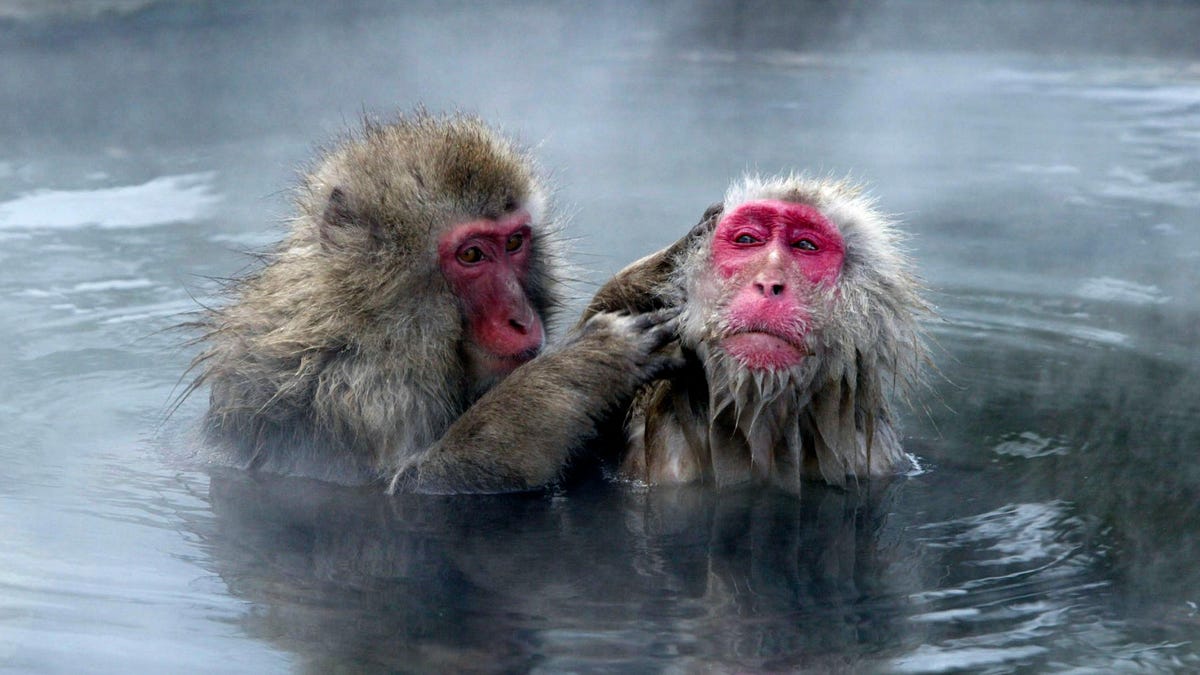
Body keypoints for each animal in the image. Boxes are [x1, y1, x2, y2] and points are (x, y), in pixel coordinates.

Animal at [182, 111, 681, 487]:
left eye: (514, 243)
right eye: (472, 254)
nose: (523, 320)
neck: (360, 324)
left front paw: (643, 281)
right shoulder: (357, 393)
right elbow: (414, 485)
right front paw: (584, 365)